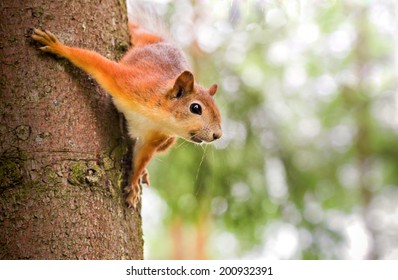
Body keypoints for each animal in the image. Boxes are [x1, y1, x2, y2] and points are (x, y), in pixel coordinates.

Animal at [31, 19, 221, 208]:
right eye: (195, 108)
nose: (218, 135)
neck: (157, 118)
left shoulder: (156, 137)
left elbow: (142, 157)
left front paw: (133, 183)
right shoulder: (130, 83)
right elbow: (97, 63)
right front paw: (58, 47)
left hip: (168, 141)